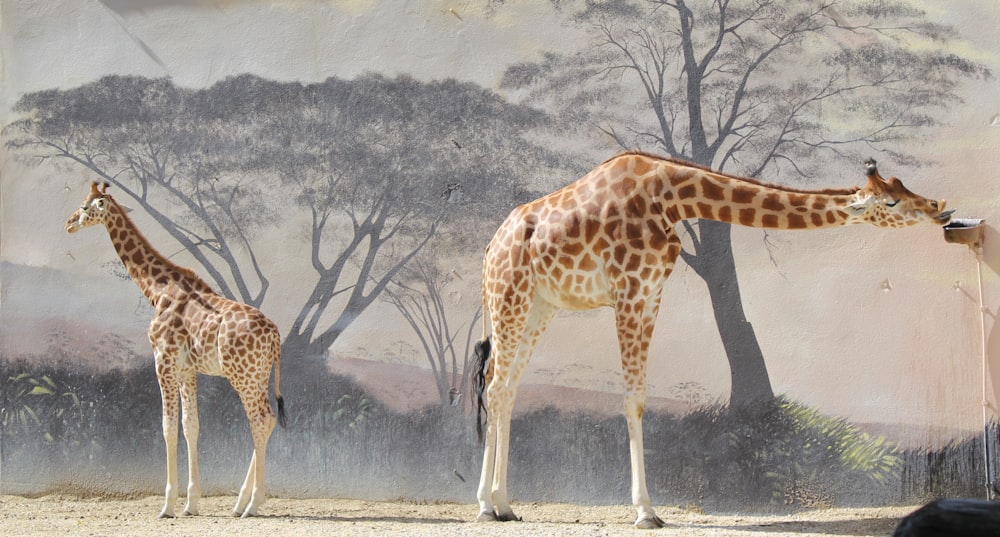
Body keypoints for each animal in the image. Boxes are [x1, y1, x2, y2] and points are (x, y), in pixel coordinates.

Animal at [64, 182, 286, 516]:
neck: (157, 290)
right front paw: (191, 503)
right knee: (269, 417)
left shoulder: (163, 360)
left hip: (241, 375)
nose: (68, 223)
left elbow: (167, 427)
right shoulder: (186, 369)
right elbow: (190, 425)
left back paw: (252, 504)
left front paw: (168, 504)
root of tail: (274, 335)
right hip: (259, 375)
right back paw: (240, 502)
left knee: (259, 420)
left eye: (85, 206)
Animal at [472, 151, 956, 528]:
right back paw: (488, 505)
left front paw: (648, 508)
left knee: (505, 387)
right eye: (892, 199)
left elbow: (638, 399)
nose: (940, 206)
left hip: (539, 307)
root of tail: (489, 250)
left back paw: (502, 505)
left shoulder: (651, 293)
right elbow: (633, 399)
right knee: (495, 389)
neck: (672, 197)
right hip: (510, 299)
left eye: (904, 185)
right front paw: (646, 512)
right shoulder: (630, 290)